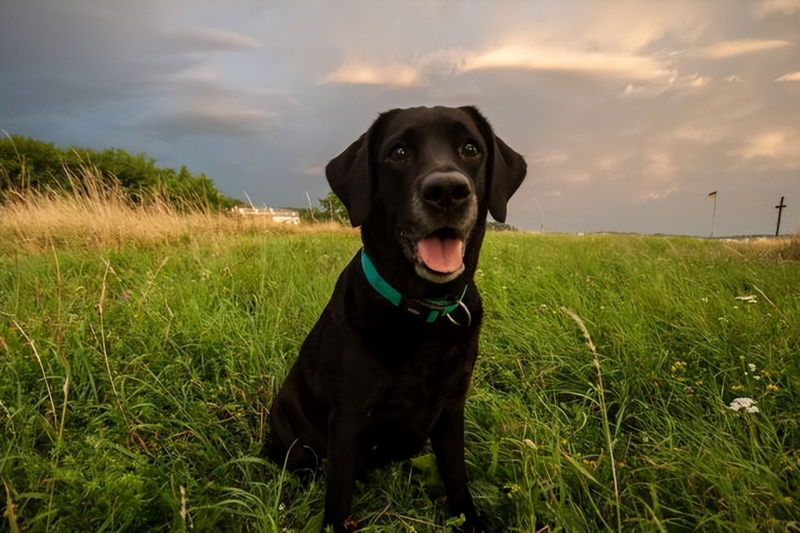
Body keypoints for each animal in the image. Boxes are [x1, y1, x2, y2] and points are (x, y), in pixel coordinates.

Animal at [268, 106, 528, 528]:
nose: (447, 191)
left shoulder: (451, 409)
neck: (423, 313)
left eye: (470, 148)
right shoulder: (346, 421)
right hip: (293, 437)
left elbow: (457, 476)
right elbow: (337, 498)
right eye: (399, 152)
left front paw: (469, 520)